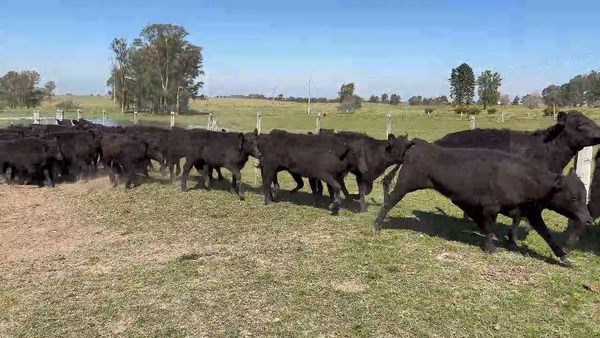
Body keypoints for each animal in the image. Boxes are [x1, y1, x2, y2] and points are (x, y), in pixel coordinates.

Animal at [378, 139, 592, 266]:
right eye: (573, 197)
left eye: (585, 196)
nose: (588, 220)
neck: (523, 179)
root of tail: (419, 144)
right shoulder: (491, 207)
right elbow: (490, 226)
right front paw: (491, 247)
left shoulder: (530, 212)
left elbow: (544, 233)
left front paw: (563, 255)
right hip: (405, 184)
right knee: (389, 201)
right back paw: (377, 224)